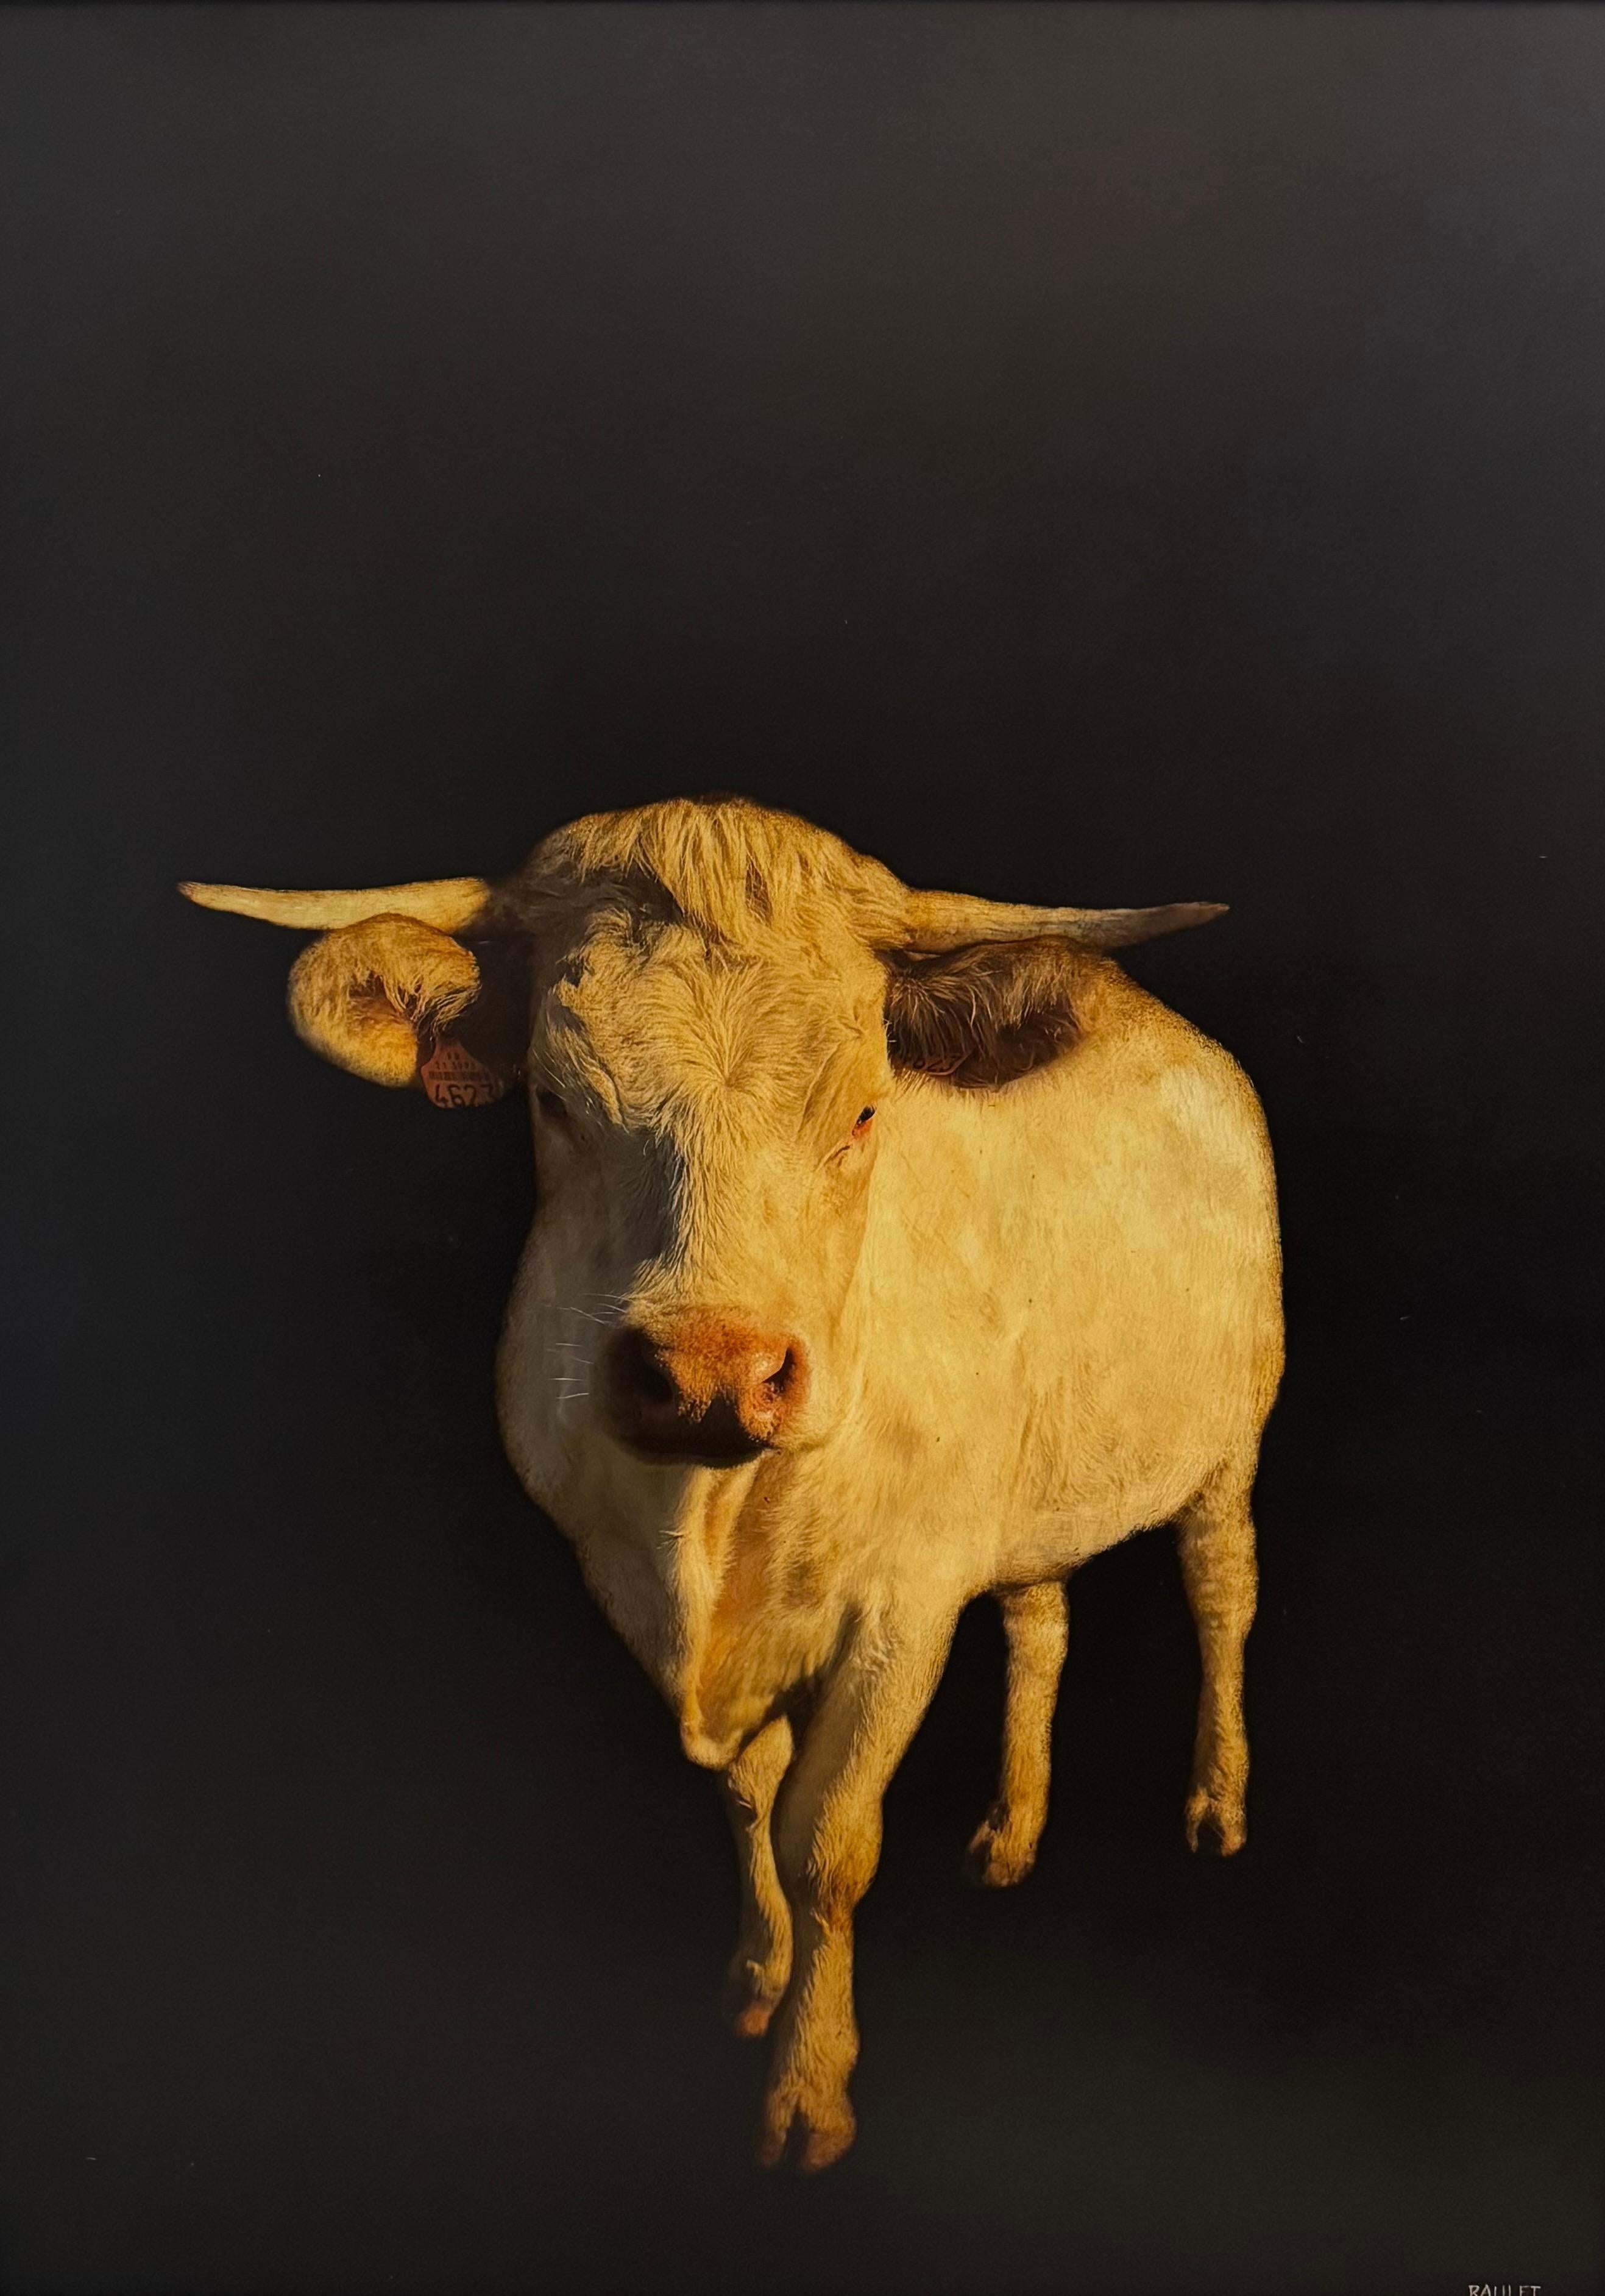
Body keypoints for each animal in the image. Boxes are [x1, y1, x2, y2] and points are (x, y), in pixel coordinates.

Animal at [182, 794, 1283, 2171]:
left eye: (862, 1111)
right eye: (554, 1099)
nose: (713, 1374)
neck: (707, 1533)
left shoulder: (904, 1606)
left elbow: (827, 1843)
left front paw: (809, 2088)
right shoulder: (658, 1586)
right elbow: (751, 1797)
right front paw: (757, 1978)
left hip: (1230, 1438)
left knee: (1219, 1591)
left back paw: (1216, 1801)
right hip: (1033, 1480)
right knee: (1040, 1619)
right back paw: (1011, 1828)